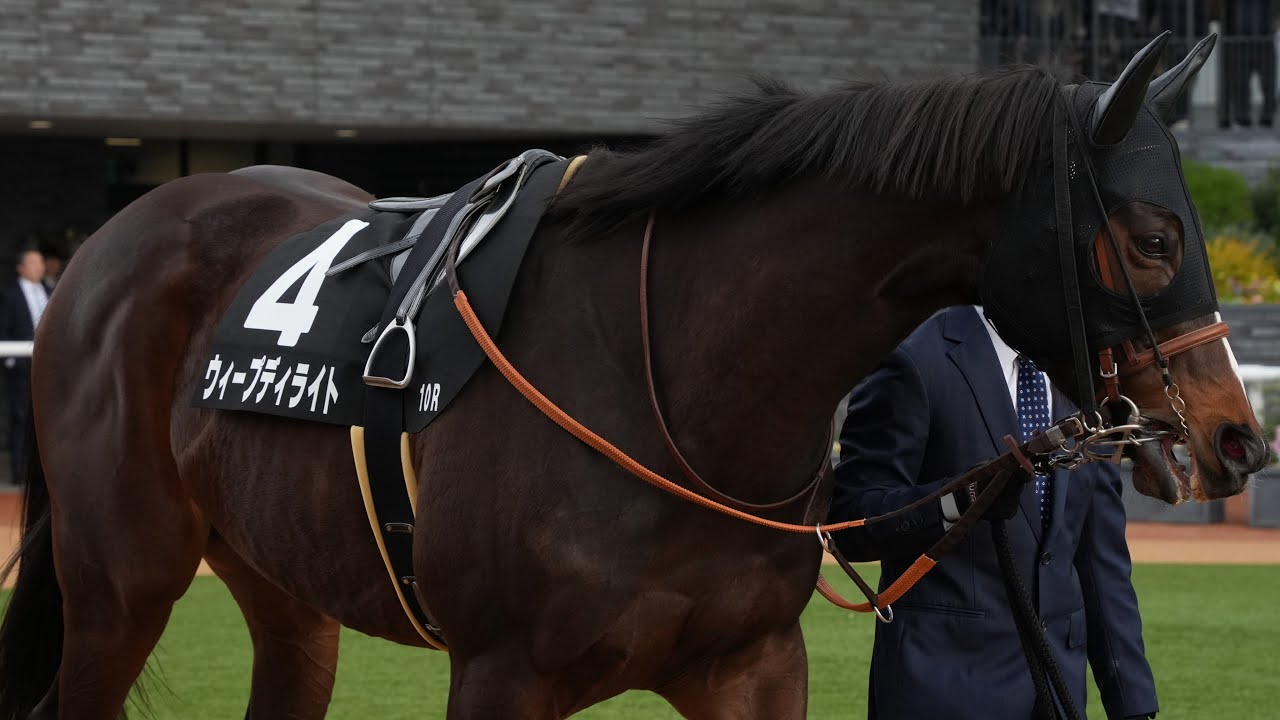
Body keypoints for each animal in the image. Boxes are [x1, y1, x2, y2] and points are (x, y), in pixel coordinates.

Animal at [0, 32, 1266, 720]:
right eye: (1152, 234)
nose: (1234, 438)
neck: (672, 382)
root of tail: (115, 240)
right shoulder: (501, 676)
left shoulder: (749, 667)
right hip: (119, 584)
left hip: (282, 582)